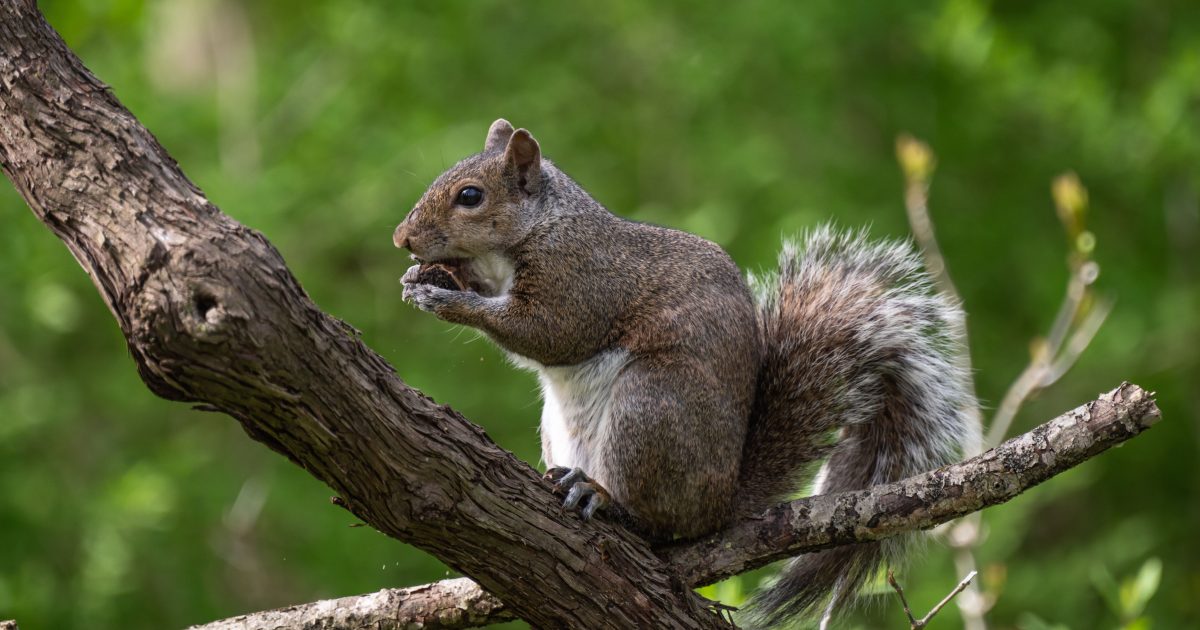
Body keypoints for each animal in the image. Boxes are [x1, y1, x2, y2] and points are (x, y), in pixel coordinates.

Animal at [393, 119, 979, 627]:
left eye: (471, 196)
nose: (402, 238)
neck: (541, 227)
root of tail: (722, 505)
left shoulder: (581, 280)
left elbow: (548, 333)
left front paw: (448, 300)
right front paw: (429, 278)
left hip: (650, 407)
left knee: (658, 524)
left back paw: (603, 499)